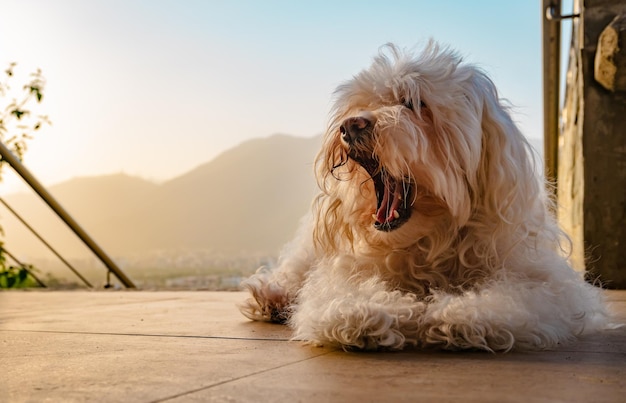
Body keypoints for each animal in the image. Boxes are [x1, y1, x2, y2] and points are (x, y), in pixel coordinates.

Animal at [238, 39, 604, 352]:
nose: (351, 125)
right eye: (363, 104)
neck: (427, 244)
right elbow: (341, 297)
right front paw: (370, 313)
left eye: (413, 103)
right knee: (294, 269)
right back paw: (271, 296)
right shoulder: (343, 273)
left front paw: (458, 314)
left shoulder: (543, 284)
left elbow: (511, 299)